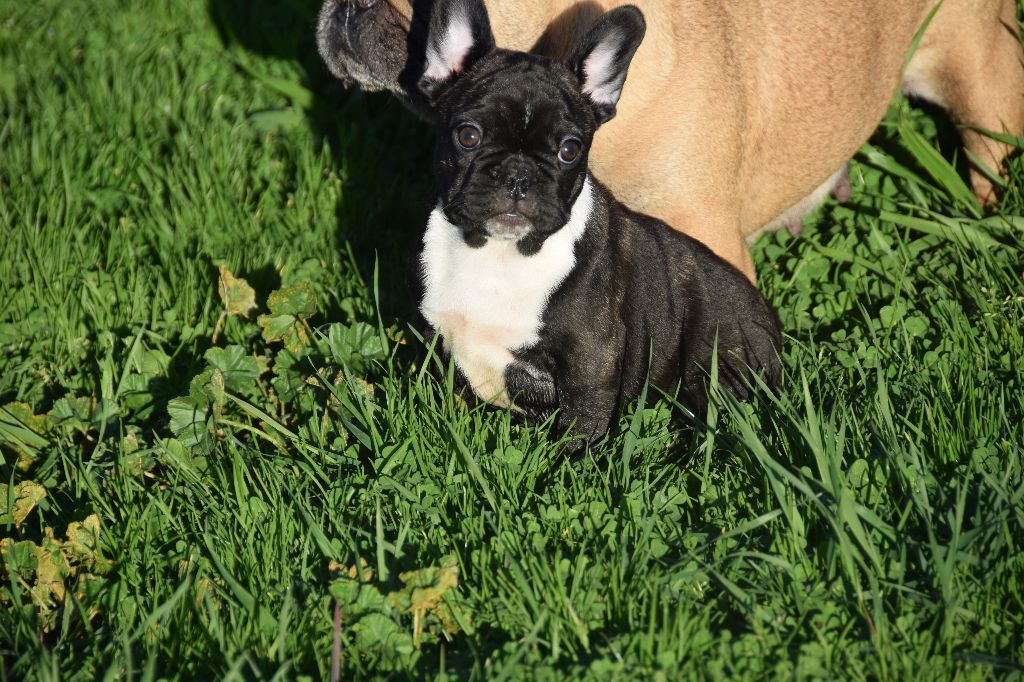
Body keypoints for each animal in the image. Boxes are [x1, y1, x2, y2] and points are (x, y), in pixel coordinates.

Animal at [415, 0, 782, 443]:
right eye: (468, 136)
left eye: (569, 150)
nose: (518, 174)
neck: (499, 254)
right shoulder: (441, 342)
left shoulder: (590, 364)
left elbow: (581, 429)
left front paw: (567, 461)